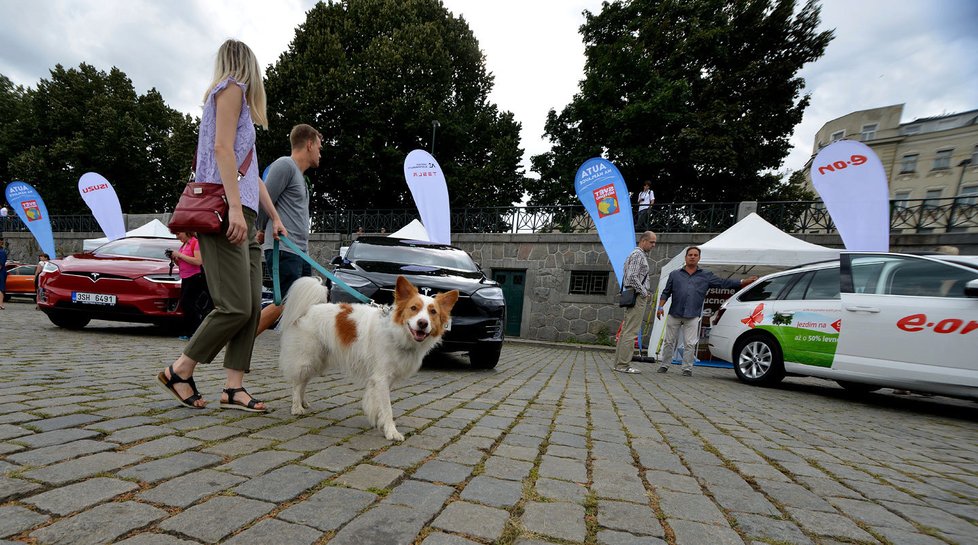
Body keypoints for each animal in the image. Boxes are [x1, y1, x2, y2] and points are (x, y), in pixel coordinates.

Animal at [276, 274, 456, 440]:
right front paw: (391, 431)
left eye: (433, 312)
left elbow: (376, 402)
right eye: (413, 308)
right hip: (307, 358)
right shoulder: (381, 378)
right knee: (297, 383)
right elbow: (387, 408)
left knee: (303, 381)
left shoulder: (383, 379)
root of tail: (309, 308)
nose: (423, 323)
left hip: (318, 360)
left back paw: (303, 402)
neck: (395, 332)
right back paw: (296, 407)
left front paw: (377, 420)